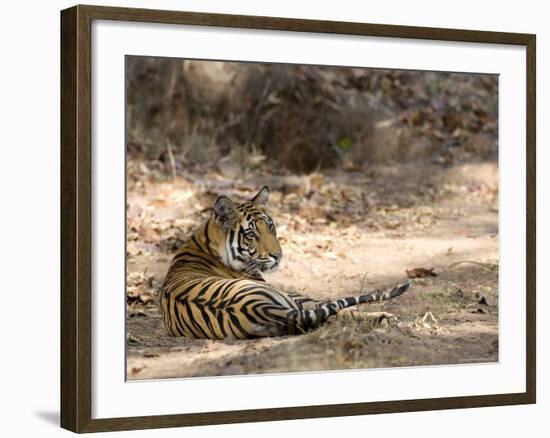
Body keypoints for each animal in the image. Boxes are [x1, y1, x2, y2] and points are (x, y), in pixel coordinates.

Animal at [160, 185, 410, 338]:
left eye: (270, 227)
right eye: (251, 234)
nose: (277, 255)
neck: (205, 240)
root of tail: (257, 308)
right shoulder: (298, 297)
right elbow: (335, 304)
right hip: (289, 301)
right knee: (335, 313)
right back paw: (385, 318)